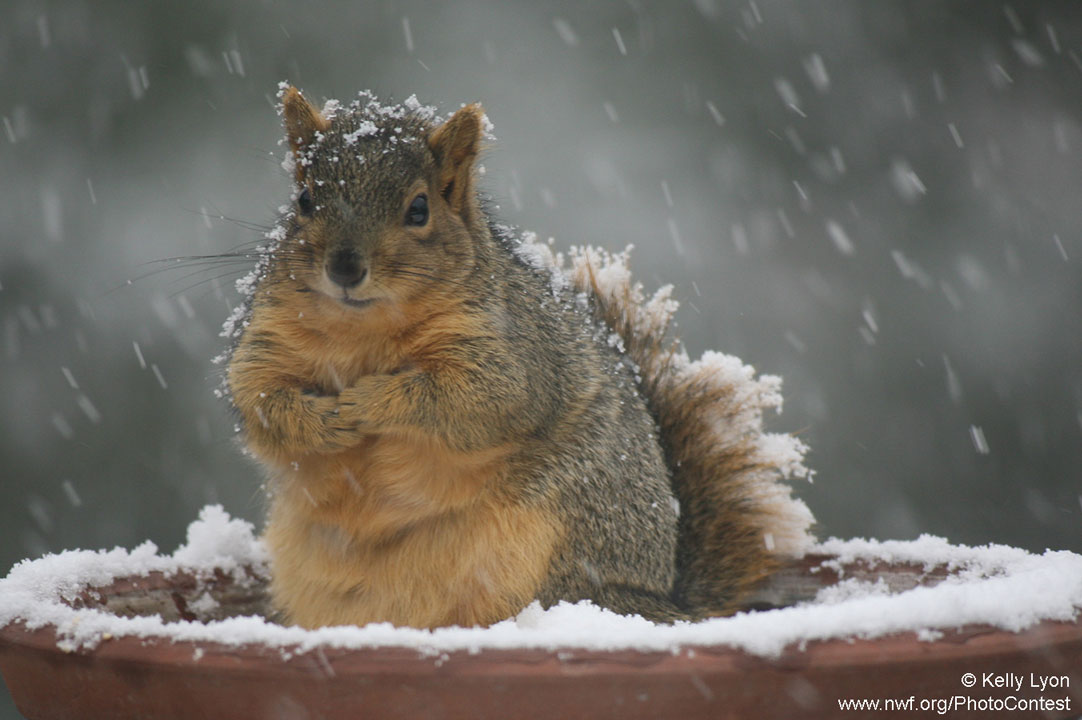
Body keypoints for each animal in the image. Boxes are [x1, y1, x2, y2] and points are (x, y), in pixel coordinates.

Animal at [221, 84, 813, 627]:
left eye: (419, 208)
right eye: (303, 200)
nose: (345, 267)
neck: (363, 329)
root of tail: (663, 600)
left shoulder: (515, 350)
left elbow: (477, 398)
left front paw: (369, 401)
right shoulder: (267, 339)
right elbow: (257, 399)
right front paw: (319, 422)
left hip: (556, 546)